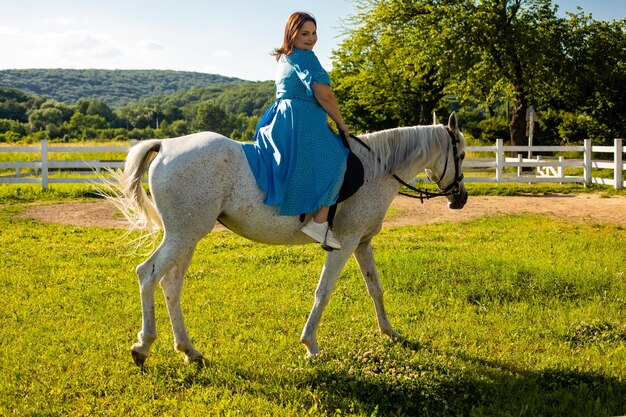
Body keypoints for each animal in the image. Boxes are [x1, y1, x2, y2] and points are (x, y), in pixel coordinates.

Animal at [111, 112, 464, 362]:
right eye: (460, 154)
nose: (459, 199)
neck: (376, 168)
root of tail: (165, 145)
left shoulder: (362, 243)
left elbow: (375, 288)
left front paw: (389, 332)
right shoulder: (345, 243)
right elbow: (324, 292)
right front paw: (311, 345)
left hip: (187, 238)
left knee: (170, 286)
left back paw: (188, 350)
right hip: (182, 236)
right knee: (147, 275)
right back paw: (143, 346)